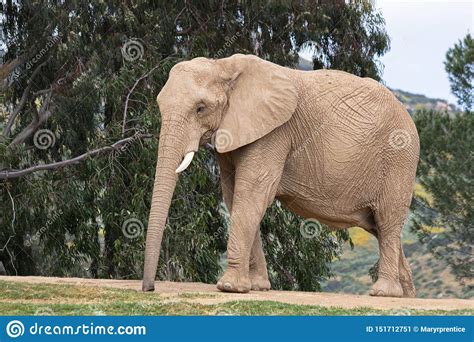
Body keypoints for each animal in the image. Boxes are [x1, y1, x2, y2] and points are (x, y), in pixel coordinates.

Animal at [142, 52, 418, 296]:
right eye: (159, 105)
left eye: (200, 108)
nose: (149, 289)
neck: (223, 66)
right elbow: (234, 197)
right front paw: (256, 287)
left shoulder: (274, 133)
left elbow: (251, 195)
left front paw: (230, 288)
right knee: (380, 227)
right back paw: (405, 295)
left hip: (398, 159)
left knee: (387, 220)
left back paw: (384, 293)